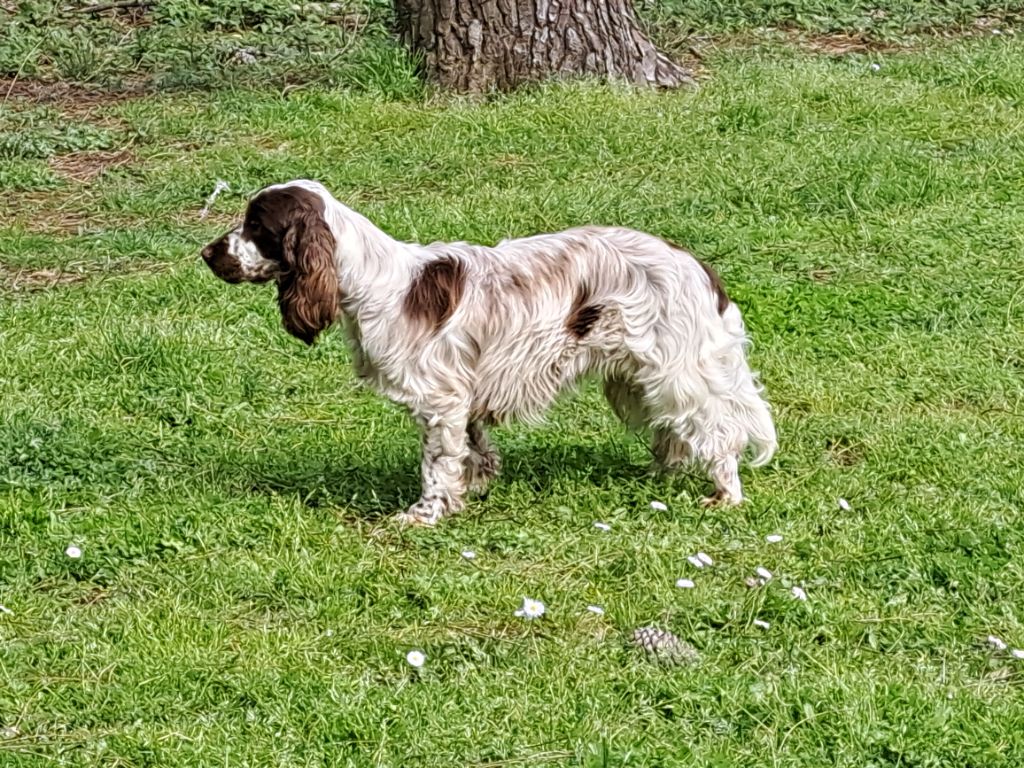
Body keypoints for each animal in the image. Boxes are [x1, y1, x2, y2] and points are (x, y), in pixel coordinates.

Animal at [199, 180, 774, 528]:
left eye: (256, 226)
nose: (205, 252)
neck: (372, 280)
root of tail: (698, 267)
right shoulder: (463, 395)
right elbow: (472, 451)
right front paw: (472, 487)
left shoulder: (439, 401)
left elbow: (436, 465)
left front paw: (426, 514)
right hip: (637, 376)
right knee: (674, 434)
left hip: (676, 371)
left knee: (718, 433)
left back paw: (725, 494)